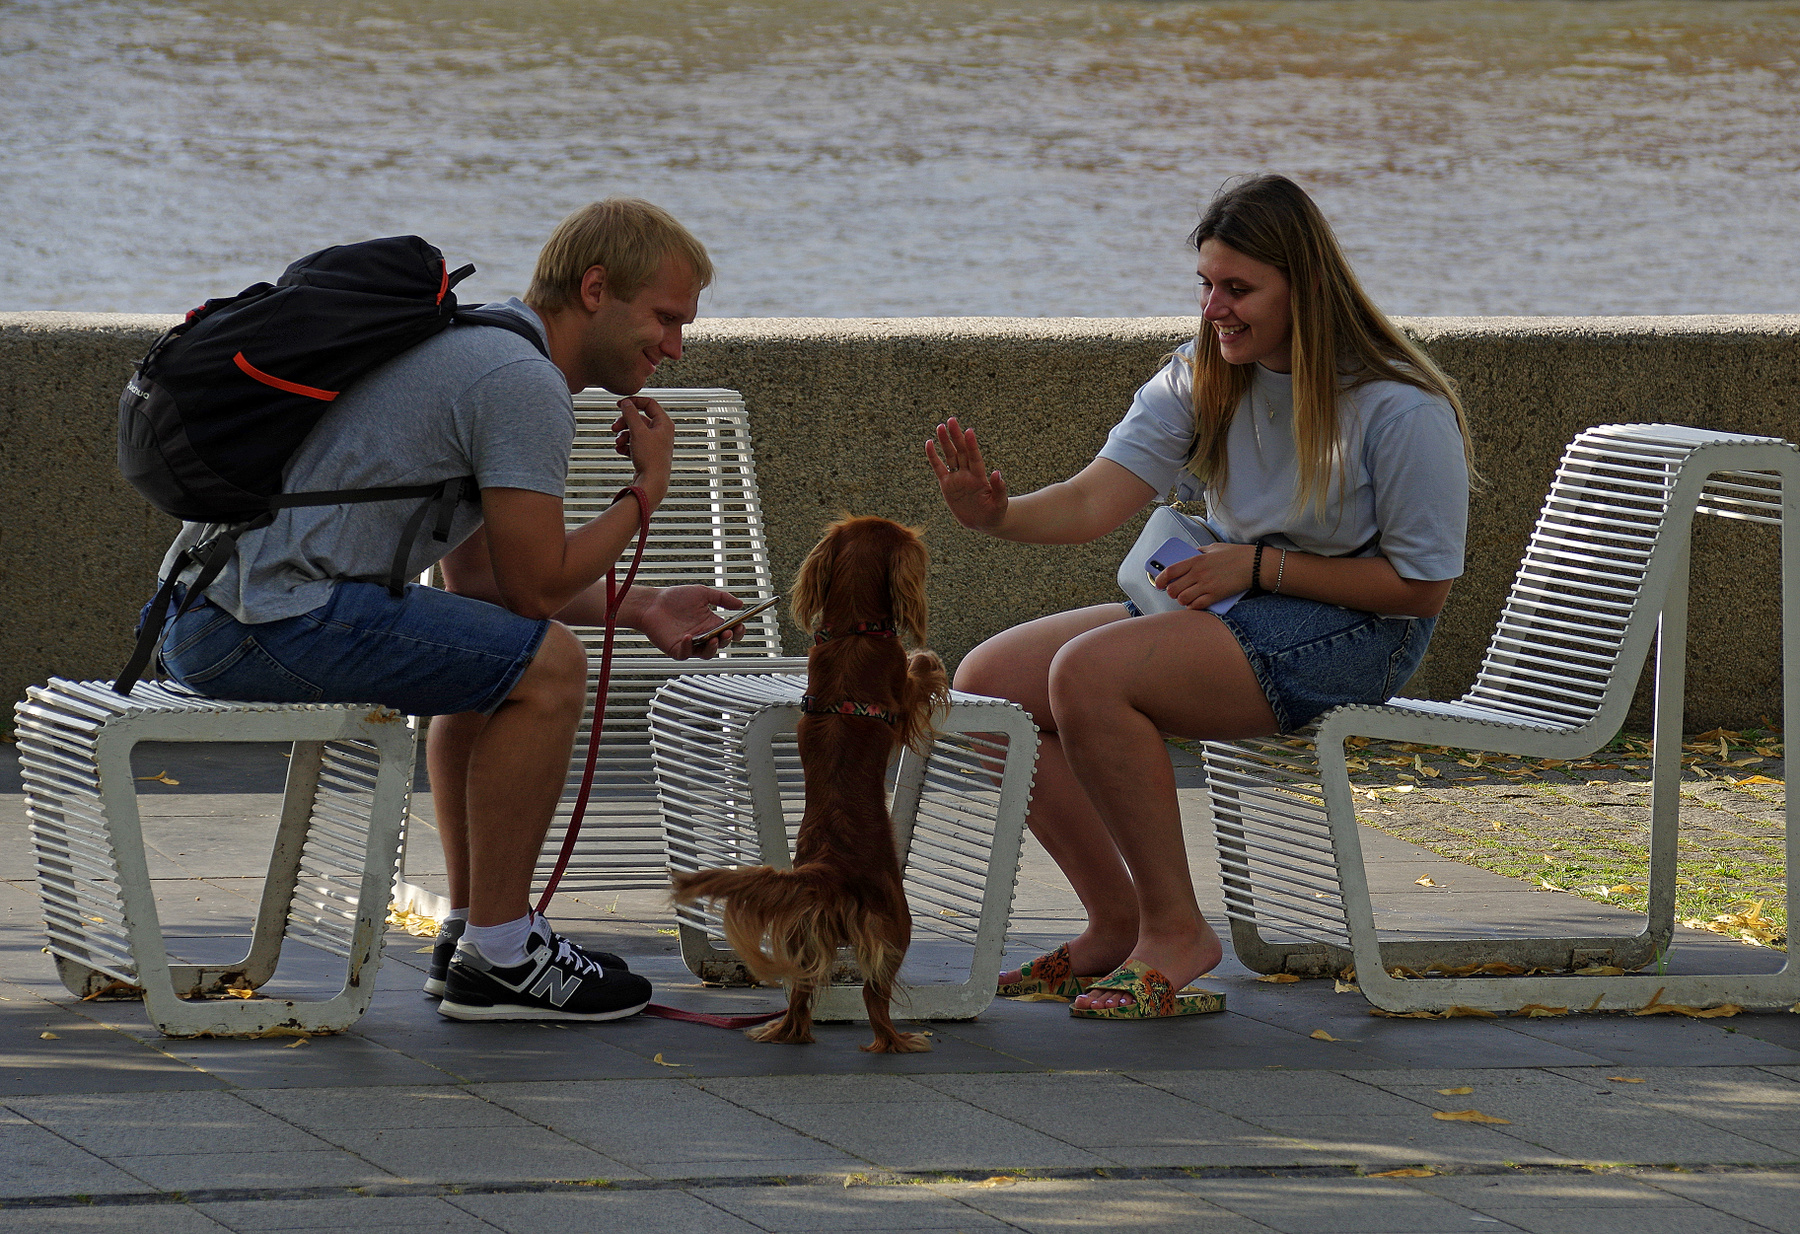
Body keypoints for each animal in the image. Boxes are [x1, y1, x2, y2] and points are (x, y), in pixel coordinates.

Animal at [670, 516, 949, 1052]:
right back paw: (898, 1041)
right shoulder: (903, 697)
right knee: (875, 998)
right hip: (895, 924)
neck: (851, 631)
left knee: (800, 995)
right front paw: (932, 660)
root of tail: (825, 871)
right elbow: (922, 666)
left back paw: (786, 1032)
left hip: (803, 938)